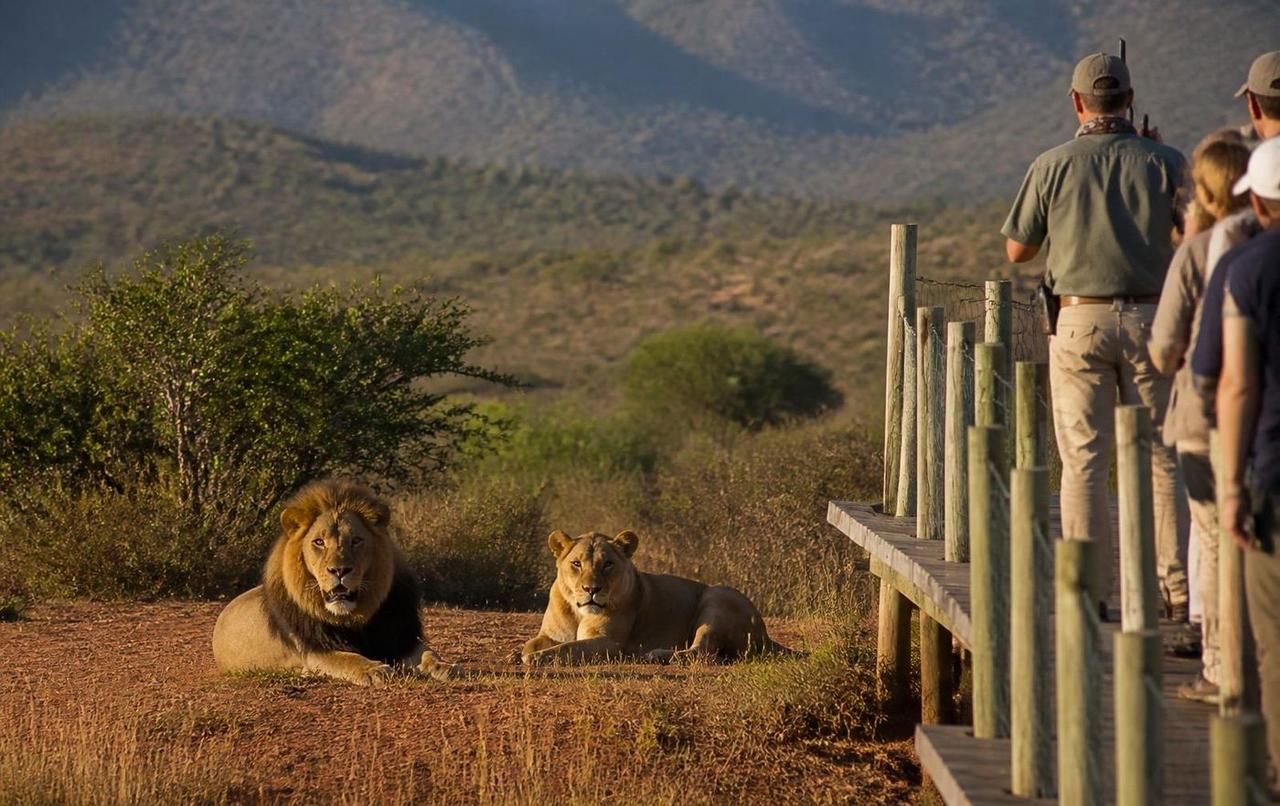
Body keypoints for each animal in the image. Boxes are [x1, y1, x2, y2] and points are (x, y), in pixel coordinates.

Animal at [212, 480, 457, 686]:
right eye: (319, 542)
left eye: (356, 540)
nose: (339, 570)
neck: (353, 619)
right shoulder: (315, 653)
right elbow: (348, 659)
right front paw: (374, 670)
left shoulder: (401, 638)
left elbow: (427, 653)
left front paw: (446, 667)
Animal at [520, 529, 795, 665]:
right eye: (576, 564)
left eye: (607, 564)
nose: (591, 590)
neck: (577, 611)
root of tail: (766, 633)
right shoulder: (550, 635)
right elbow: (531, 643)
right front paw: (522, 654)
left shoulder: (610, 643)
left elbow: (568, 648)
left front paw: (536, 659)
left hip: (715, 597)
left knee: (702, 652)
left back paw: (657, 655)